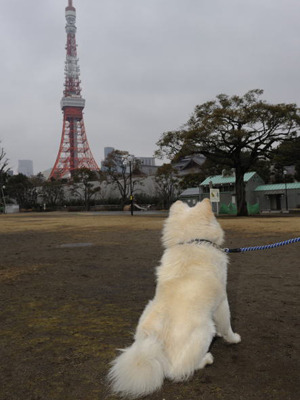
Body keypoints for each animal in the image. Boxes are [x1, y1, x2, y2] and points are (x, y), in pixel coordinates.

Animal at [108, 199, 241, 396]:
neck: (190, 242)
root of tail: (154, 349)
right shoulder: (222, 302)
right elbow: (227, 326)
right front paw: (233, 339)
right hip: (205, 330)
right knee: (179, 370)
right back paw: (207, 359)